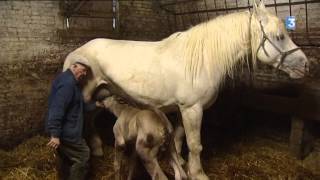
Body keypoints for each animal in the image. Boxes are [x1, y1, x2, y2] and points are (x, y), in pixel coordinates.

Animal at [62, 1, 308, 179]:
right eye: (279, 37)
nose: (305, 65)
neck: (202, 60)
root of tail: (76, 52)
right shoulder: (192, 109)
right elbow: (195, 144)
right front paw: (198, 173)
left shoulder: (183, 109)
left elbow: (179, 138)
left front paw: (181, 164)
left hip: (100, 96)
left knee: (90, 120)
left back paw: (97, 149)